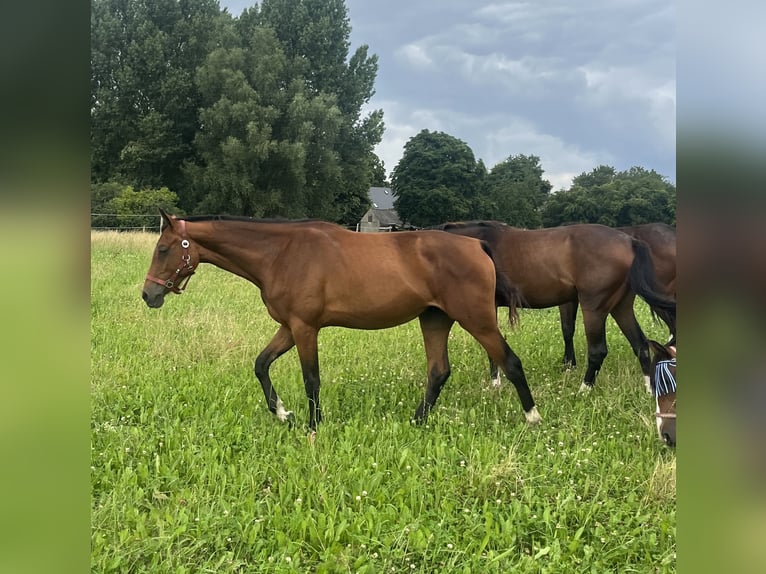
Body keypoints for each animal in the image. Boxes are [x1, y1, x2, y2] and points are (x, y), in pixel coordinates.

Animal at [142, 209, 542, 431]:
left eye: (163, 249)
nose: (149, 295)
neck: (281, 253)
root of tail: (477, 246)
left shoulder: (305, 328)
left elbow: (311, 379)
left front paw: (312, 424)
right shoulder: (289, 327)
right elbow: (261, 365)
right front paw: (282, 414)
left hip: (478, 320)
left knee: (510, 362)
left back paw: (533, 418)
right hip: (434, 320)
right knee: (439, 371)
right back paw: (417, 421)